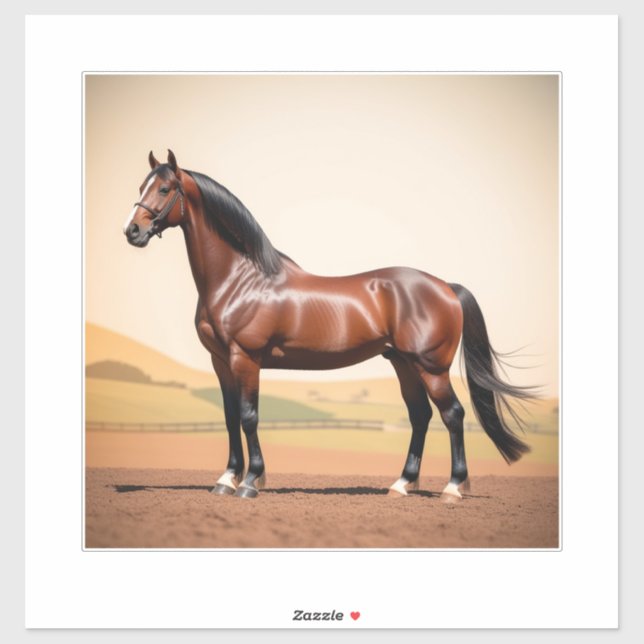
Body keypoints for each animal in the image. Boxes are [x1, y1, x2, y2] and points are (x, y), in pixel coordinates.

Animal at [123, 150, 532, 501]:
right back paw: (401, 484)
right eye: (141, 186)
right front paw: (226, 479)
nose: (132, 232)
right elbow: (229, 417)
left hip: (431, 367)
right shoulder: (221, 362)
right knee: (420, 416)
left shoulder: (246, 359)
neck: (240, 279)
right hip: (403, 363)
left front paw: (251, 481)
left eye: (164, 189)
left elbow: (249, 416)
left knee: (453, 415)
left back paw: (452, 488)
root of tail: (446, 286)